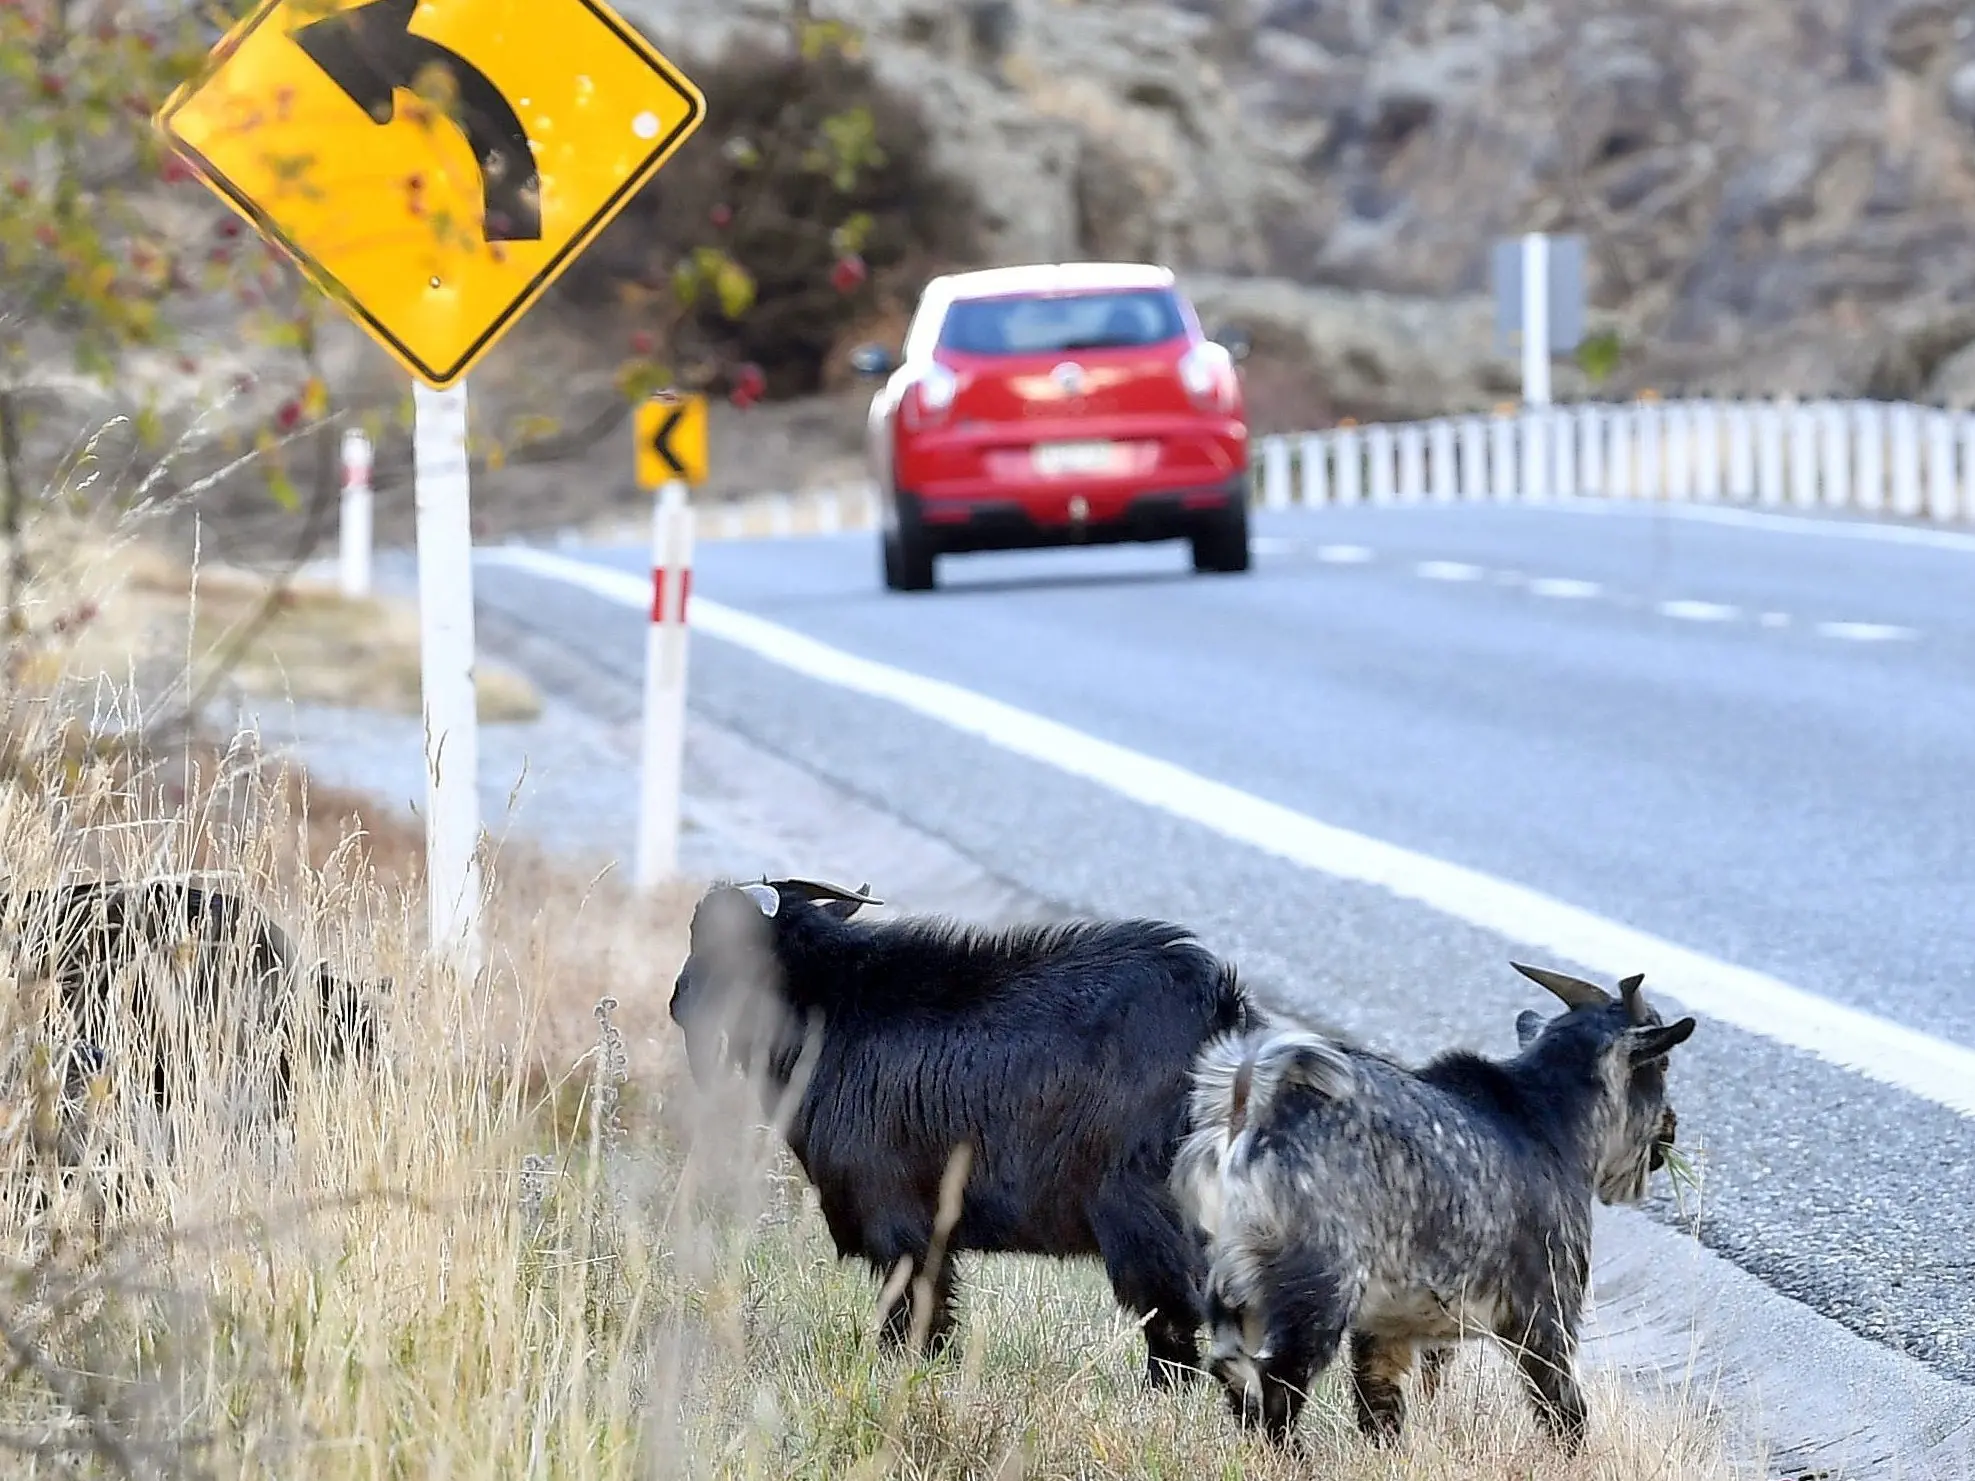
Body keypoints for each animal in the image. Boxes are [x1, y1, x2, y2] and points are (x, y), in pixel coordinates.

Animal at [669, 876, 1257, 1384]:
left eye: (712, 938)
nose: (677, 1002)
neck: (829, 1009)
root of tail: (1222, 1015)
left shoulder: (899, 1220)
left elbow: (915, 1309)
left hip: (1143, 1215)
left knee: (1174, 1315)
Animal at [1170, 961, 1695, 1452]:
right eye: (1664, 1065)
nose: (1671, 1129)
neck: (1546, 1121)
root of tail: (1249, 1108)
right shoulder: (1546, 1312)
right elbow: (1565, 1412)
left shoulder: (1388, 1330)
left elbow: (1381, 1404)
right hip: (1317, 1288)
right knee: (1277, 1380)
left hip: (1228, 1276)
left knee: (1231, 1366)